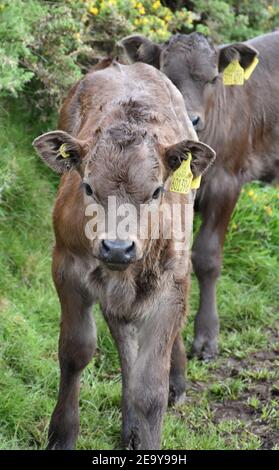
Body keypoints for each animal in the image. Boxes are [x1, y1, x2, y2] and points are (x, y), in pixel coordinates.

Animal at [33, 58, 217, 448]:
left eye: (157, 191)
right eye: (88, 187)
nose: (117, 246)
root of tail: (123, 64)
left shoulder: (167, 284)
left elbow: (151, 388)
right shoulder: (66, 268)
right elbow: (75, 351)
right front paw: (62, 433)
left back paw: (175, 381)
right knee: (121, 332)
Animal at [121, 32, 279, 360]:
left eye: (213, 78)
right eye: (167, 75)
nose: (191, 119)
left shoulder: (227, 183)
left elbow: (207, 256)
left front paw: (206, 337)